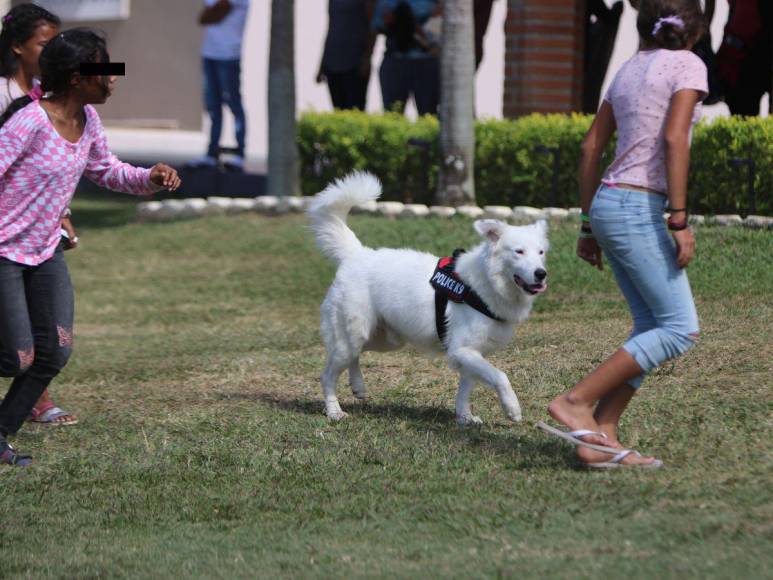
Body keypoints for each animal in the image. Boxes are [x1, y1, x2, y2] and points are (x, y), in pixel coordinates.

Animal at [308, 172, 548, 426]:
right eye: (519, 251)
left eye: (541, 252)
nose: (541, 274)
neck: (486, 284)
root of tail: (357, 253)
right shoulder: (462, 350)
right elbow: (500, 376)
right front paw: (512, 408)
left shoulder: (472, 355)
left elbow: (465, 391)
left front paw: (464, 417)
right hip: (353, 336)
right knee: (328, 375)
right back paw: (334, 411)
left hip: (383, 339)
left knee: (355, 356)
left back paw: (358, 386)